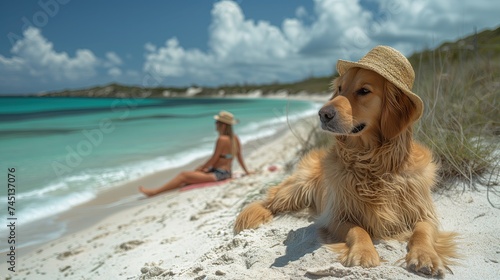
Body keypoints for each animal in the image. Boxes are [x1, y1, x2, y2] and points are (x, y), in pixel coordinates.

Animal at [234, 45, 458, 276]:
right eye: (340, 89)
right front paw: (363, 253)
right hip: (297, 187)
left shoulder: (424, 211)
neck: (373, 163)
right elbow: (358, 229)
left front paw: (425, 255)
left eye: (364, 91)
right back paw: (257, 214)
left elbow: (423, 231)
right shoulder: (337, 215)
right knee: (269, 200)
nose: (322, 114)